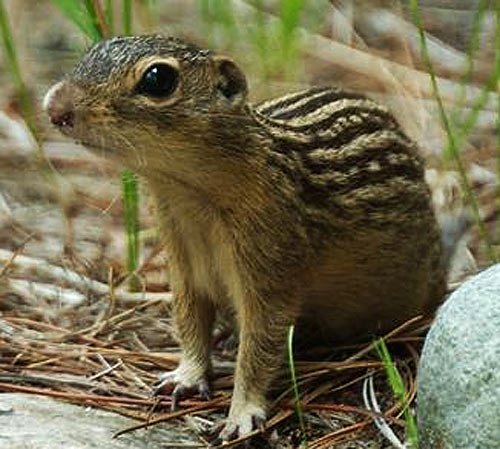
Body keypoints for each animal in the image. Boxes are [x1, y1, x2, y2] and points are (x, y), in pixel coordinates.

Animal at [45, 34, 446, 440]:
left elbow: (258, 349)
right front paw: (186, 376)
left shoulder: (271, 270)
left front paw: (241, 413)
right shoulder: (184, 267)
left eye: (158, 79)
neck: (188, 194)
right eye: (93, 50)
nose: (54, 107)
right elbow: (190, 325)